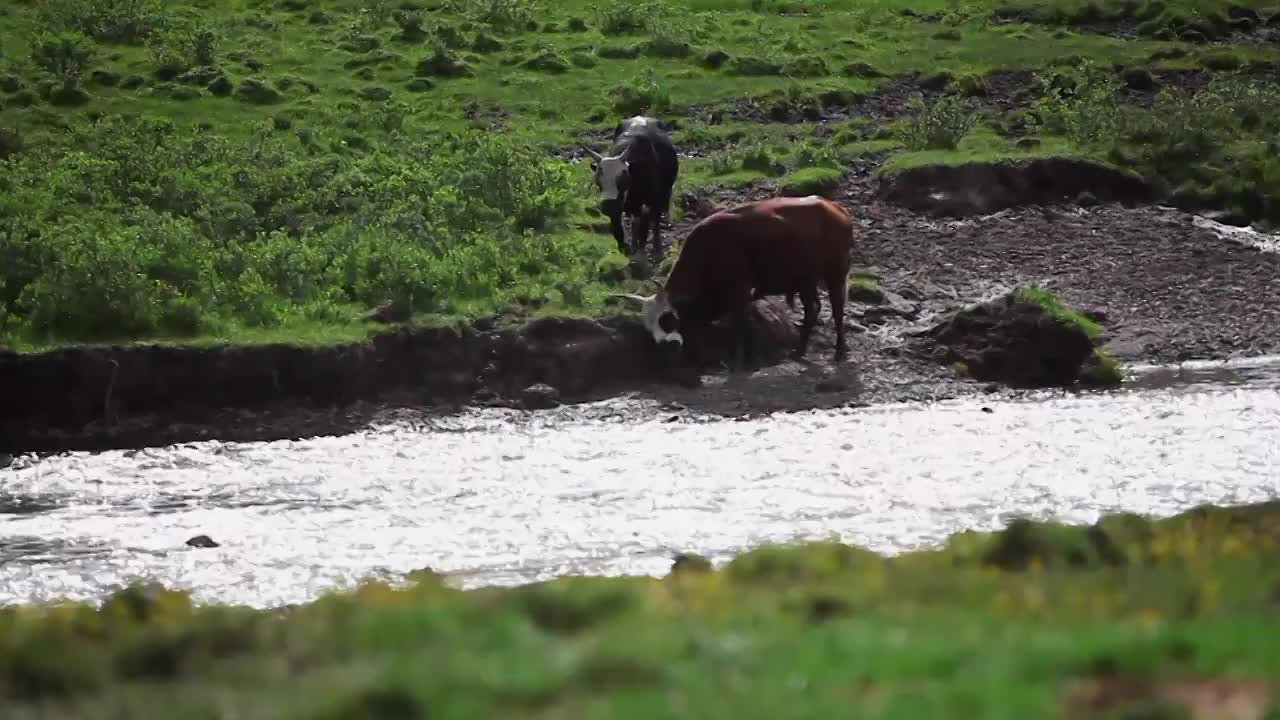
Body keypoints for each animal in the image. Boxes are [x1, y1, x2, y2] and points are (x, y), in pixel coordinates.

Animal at [583, 117, 680, 260]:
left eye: (622, 179)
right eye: (598, 181)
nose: (608, 204)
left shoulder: (650, 201)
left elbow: (647, 227)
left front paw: (647, 253)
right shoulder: (619, 207)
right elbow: (618, 229)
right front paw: (624, 249)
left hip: (662, 194)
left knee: (653, 220)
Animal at [614, 193, 855, 366]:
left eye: (667, 318)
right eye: (647, 325)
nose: (665, 347)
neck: (709, 250)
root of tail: (834, 207)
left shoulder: (741, 288)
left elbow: (739, 322)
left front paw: (741, 359)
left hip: (835, 271)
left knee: (837, 309)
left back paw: (839, 351)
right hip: (805, 278)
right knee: (813, 308)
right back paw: (800, 350)